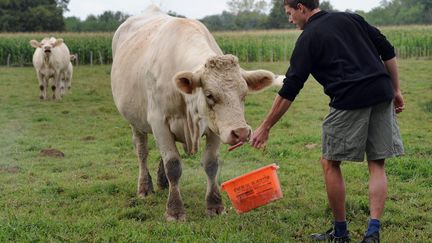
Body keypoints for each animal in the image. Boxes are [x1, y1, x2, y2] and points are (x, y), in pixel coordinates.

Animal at [109, 5, 276, 222]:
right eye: (209, 94)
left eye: (244, 94)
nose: (240, 132)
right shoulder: (159, 121)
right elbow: (173, 164)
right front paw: (174, 210)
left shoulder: (215, 127)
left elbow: (211, 164)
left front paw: (215, 205)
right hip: (135, 122)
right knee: (142, 151)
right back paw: (145, 187)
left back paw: (162, 182)